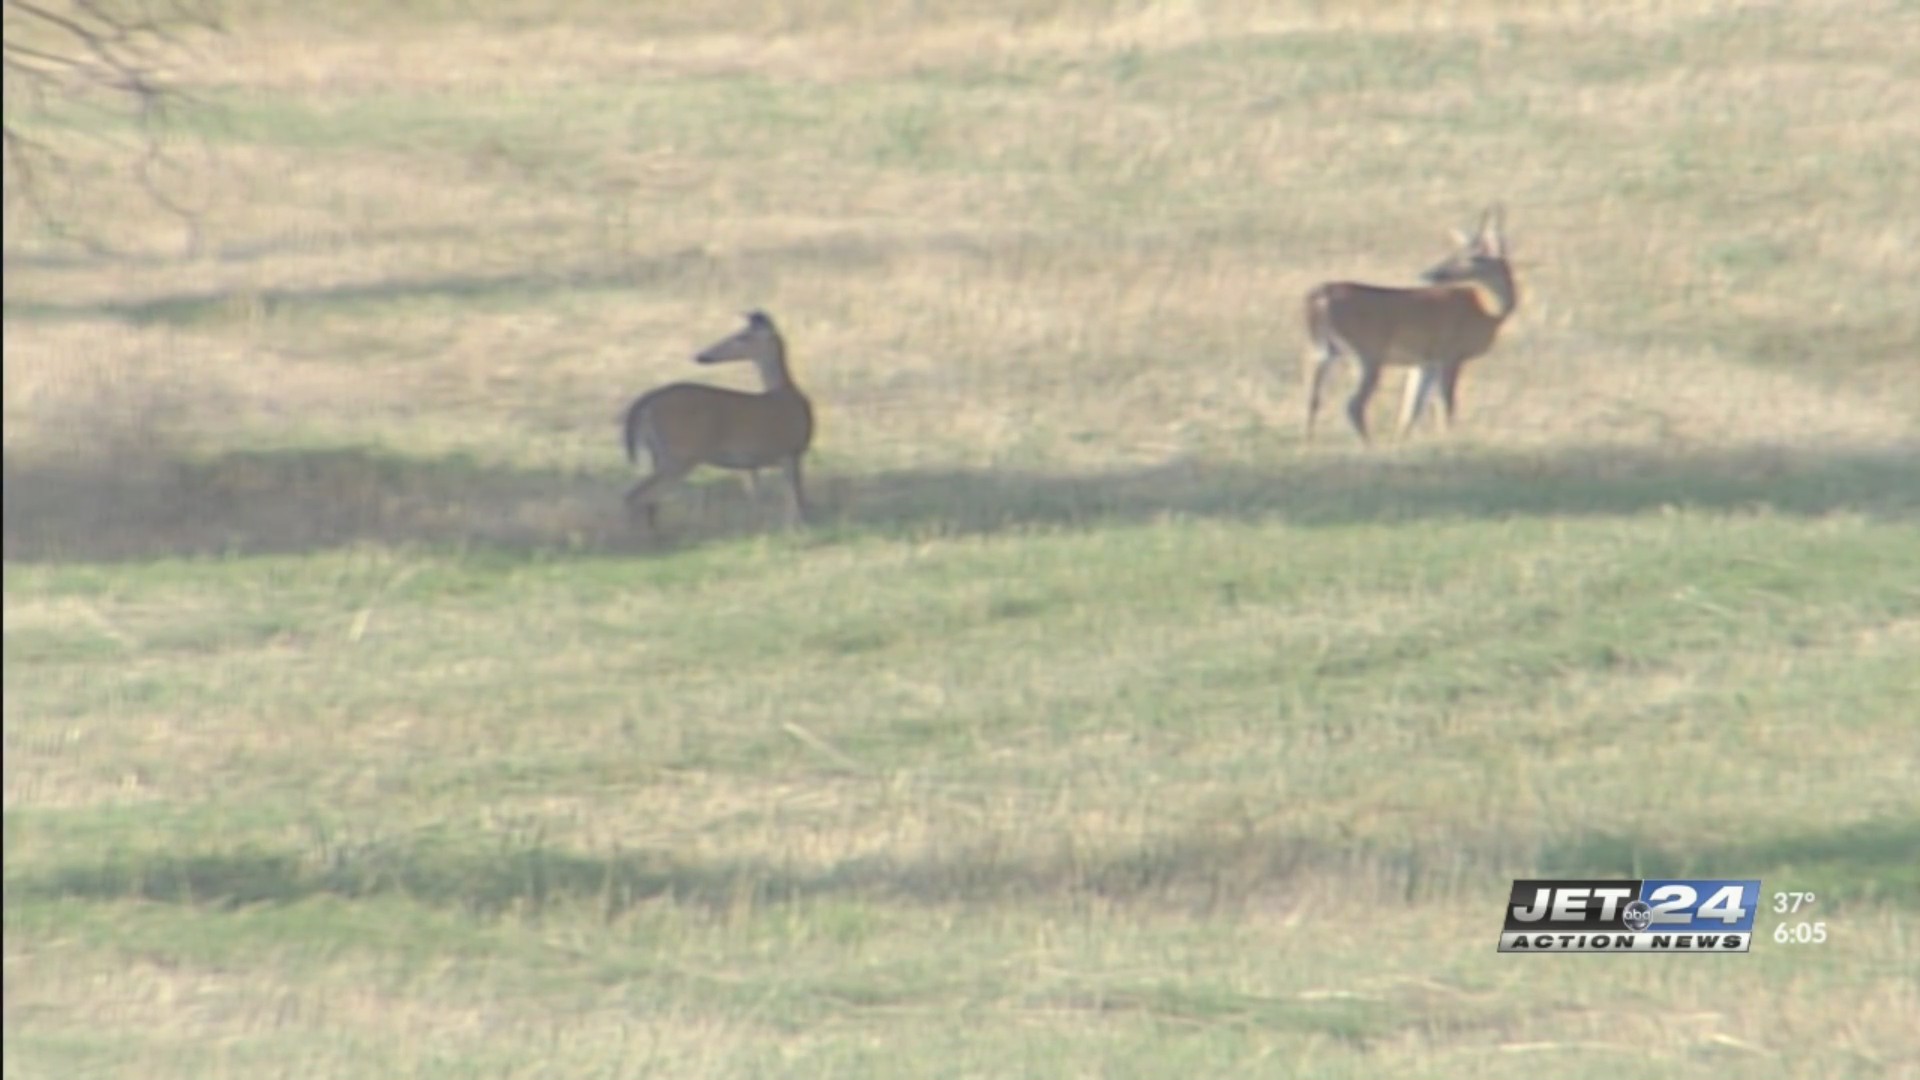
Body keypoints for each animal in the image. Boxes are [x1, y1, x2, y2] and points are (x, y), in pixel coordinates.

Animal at [621, 310, 814, 532]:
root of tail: (647, 401)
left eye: (742, 336)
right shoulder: (791, 450)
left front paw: (761, 526)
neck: (787, 394)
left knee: (647, 500)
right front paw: (796, 527)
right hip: (680, 453)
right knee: (637, 495)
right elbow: (795, 496)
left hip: (659, 454)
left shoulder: (753, 462)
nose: (702, 356)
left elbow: (758, 495)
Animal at [1302, 205, 1519, 444]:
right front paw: (1447, 438)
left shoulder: (1424, 362)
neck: (1485, 311)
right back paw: (1368, 444)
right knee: (1352, 404)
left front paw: (1403, 439)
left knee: (1312, 397)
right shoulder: (1450, 354)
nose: (1430, 273)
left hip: (1321, 352)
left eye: (1474, 257)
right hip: (1366, 353)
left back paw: (1309, 441)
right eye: (1456, 253)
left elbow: (1411, 409)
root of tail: (1321, 295)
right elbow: (1445, 406)